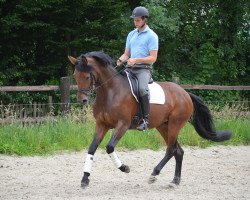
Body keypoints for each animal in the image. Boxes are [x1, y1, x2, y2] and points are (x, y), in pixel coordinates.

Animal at [67, 51, 231, 188]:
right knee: (178, 151)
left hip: (175, 124)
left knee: (171, 150)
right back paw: (175, 181)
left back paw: (154, 174)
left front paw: (125, 168)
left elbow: (110, 147)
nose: (82, 100)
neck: (110, 91)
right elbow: (92, 148)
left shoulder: (123, 125)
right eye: (75, 76)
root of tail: (185, 93)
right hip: (163, 126)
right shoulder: (102, 125)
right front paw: (85, 178)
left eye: (87, 76)